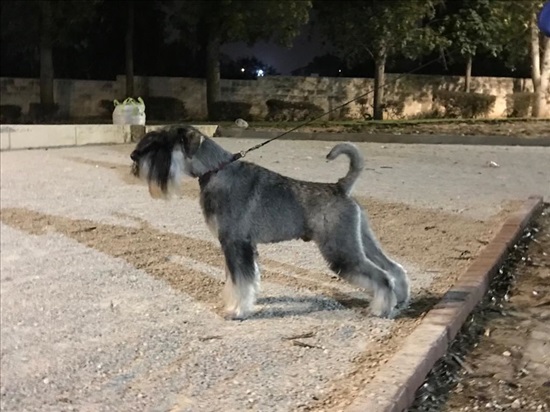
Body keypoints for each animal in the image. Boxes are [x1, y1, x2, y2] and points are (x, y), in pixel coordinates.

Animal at [132, 124, 412, 320]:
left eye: (162, 143)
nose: (134, 156)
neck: (217, 171)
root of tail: (341, 187)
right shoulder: (238, 246)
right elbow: (238, 279)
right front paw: (236, 303)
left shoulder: (235, 243)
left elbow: (240, 281)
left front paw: (237, 311)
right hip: (361, 241)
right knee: (394, 268)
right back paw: (401, 300)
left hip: (341, 251)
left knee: (382, 277)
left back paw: (381, 309)